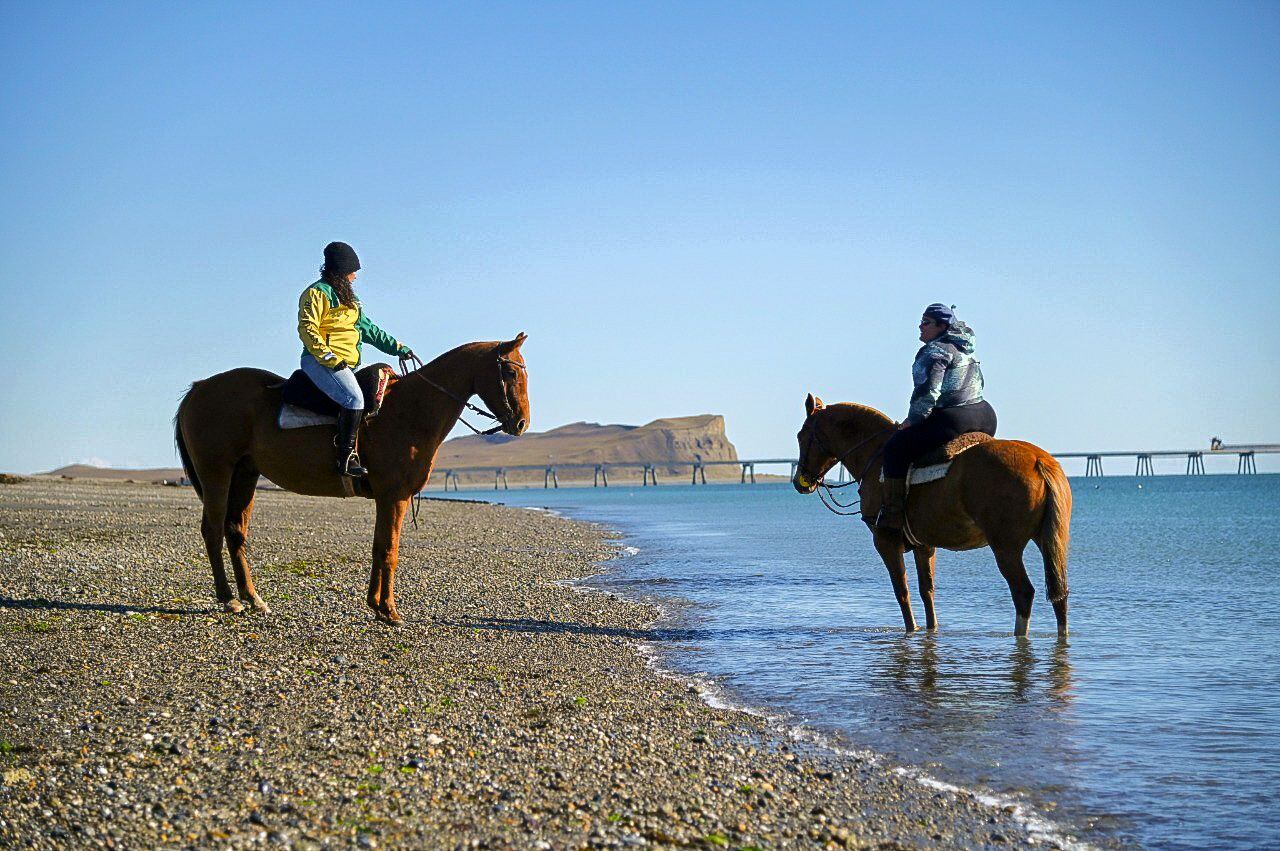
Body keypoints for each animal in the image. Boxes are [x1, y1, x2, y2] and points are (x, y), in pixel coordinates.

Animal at [172, 332, 527, 624]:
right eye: (511, 372)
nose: (522, 423)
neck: (412, 411)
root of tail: (200, 388)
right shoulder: (394, 495)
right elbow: (389, 550)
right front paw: (389, 610)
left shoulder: (389, 498)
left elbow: (380, 546)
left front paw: (376, 605)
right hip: (216, 472)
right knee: (212, 530)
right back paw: (228, 599)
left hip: (245, 474)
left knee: (235, 531)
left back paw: (252, 598)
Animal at [788, 394, 1070, 634]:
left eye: (802, 435)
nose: (800, 482)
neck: (876, 457)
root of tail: (1039, 461)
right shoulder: (924, 545)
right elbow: (927, 592)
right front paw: (931, 630)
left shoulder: (885, 541)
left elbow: (902, 591)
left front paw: (911, 629)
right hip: (1049, 540)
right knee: (1060, 593)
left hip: (1005, 547)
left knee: (1023, 592)